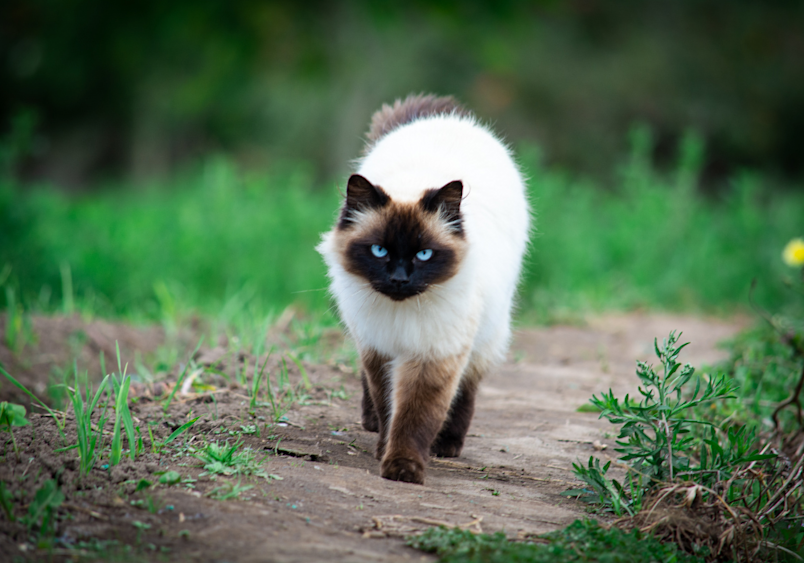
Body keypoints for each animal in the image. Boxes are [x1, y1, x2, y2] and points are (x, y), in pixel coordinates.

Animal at [318, 93, 532, 484]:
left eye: (423, 254)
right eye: (380, 250)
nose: (400, 279)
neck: (401, 313)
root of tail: (441, 116)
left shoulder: (433, 355)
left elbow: (416, 417)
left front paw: (404, 468)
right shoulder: (378, 349)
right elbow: (387, 405)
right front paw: (384, 448)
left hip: (485, 336)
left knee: (467, 390)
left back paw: (447, 445)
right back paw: (371, 425)